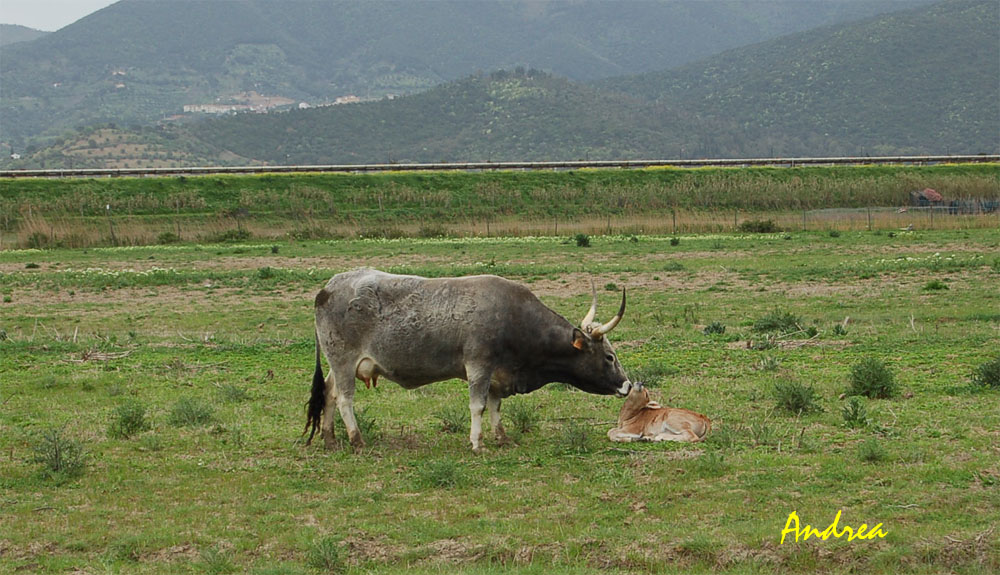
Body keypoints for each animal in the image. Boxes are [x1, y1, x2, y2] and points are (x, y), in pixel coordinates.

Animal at [304, 268, 632, 452]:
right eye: (609, 356)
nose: (627, 385)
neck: (514, 319)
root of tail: (327, 288)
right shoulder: (479, 366)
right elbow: (478, 406)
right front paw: (477, 443)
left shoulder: (499, 375)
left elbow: (495, 407)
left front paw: (501, 438)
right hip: (344, 361)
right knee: (344, 399)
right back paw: (357, 440)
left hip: (338, 365)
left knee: (330, 394)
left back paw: (330, 440)